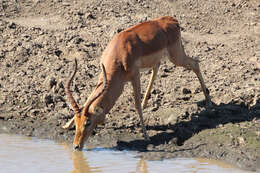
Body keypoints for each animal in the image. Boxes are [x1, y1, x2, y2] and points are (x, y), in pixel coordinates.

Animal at [63, 15, 211, 150]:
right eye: (77, 122)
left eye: (88, 122)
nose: (76, 146)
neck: (119, 52)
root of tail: (171, 20)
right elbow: (89, 97)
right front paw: (66, 125)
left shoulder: (135, 75)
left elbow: (136, 104)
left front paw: (146, 135)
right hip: (164, 58)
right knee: (157, 68)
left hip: (176, 57)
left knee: (195, 63)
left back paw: (208, 101)